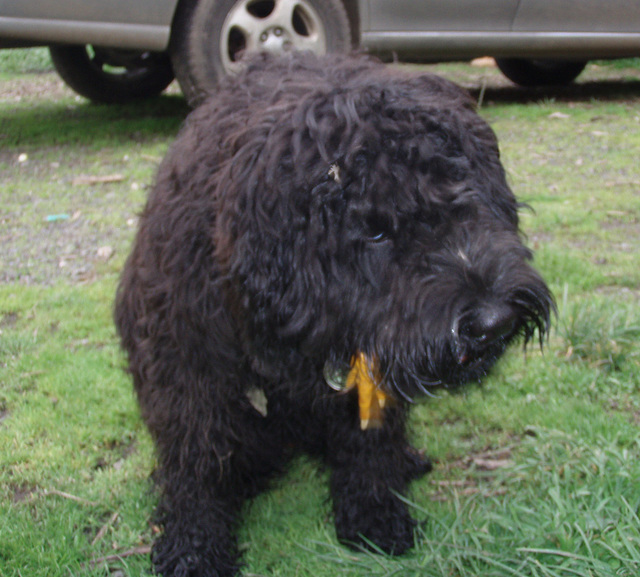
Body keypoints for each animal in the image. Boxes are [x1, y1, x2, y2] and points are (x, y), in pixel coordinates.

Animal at [116, 51, 556, 572]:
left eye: (467, 197)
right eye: (375, 231)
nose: (493, 321)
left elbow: (368, 445)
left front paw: (373, 518)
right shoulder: (187, 366)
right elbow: (197, 461)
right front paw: (193, 548)